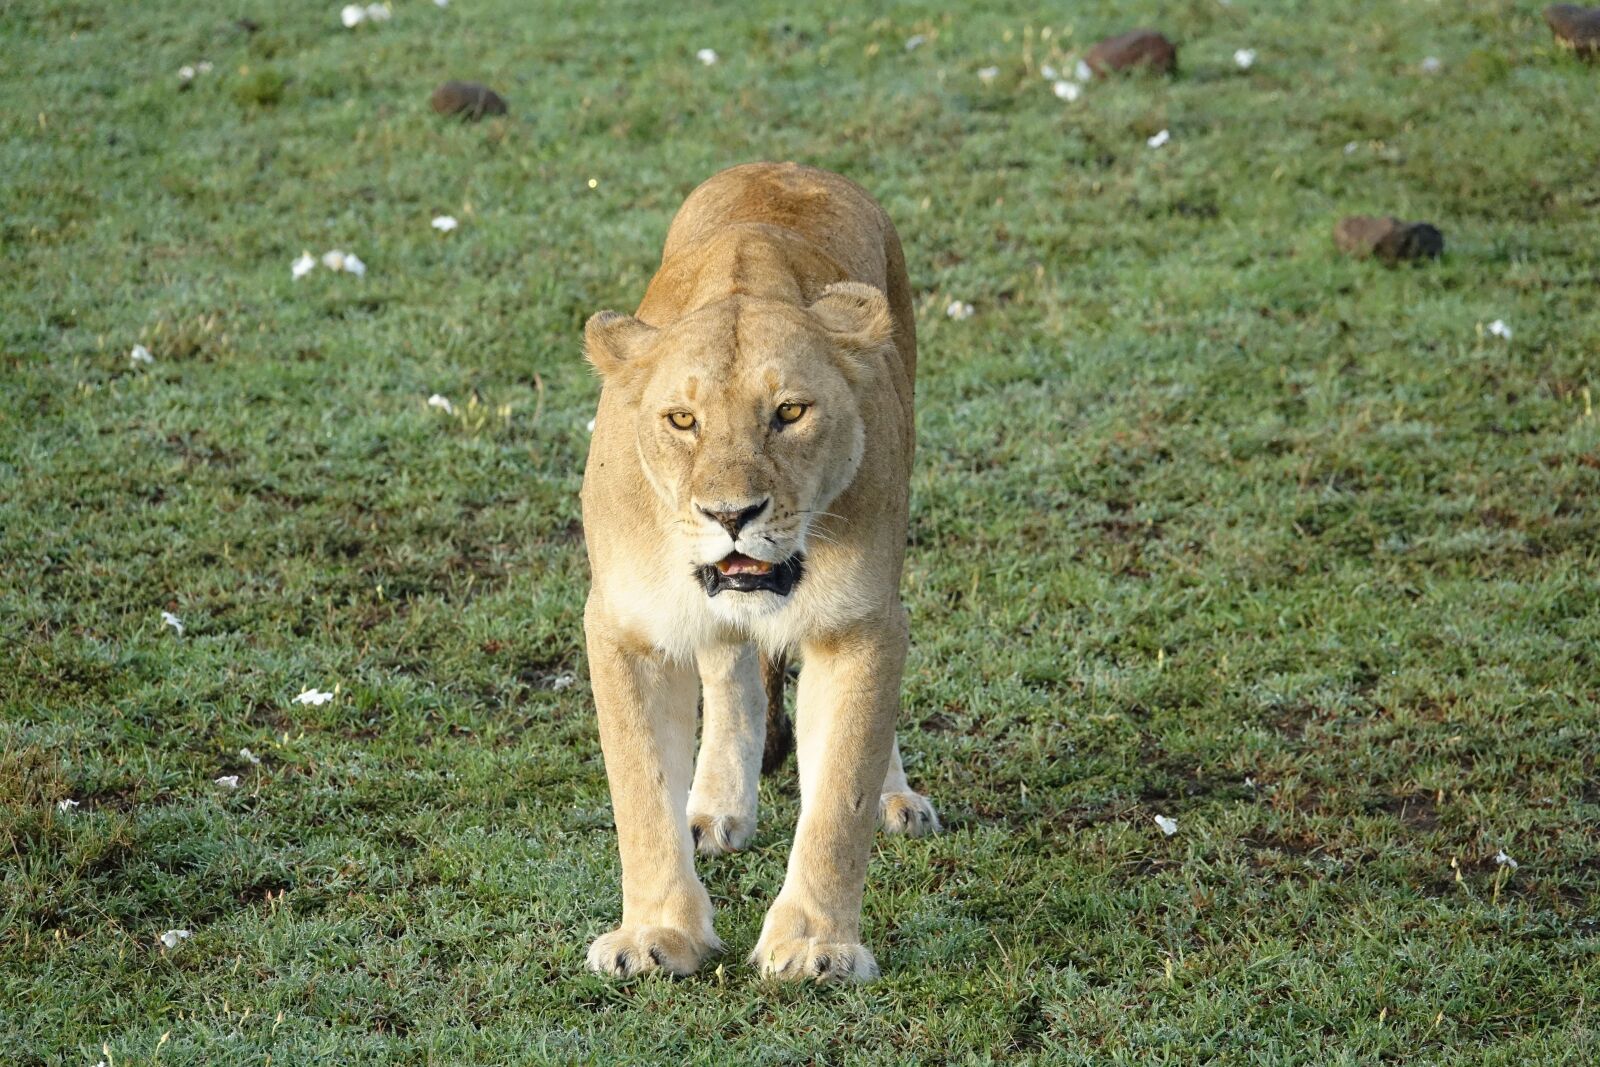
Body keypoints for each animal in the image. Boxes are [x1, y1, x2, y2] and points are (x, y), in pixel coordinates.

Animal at [578, 162, 939, 983]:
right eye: (682, 420)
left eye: (791, 412)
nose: (731, 513)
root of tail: (786, 166)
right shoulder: (624, 628)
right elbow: (641, 792)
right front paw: (656, 933)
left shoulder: (858, 623)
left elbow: (840, 791)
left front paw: (813, 945)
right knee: (730, 668)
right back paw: (715, 807)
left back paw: (897, 798)